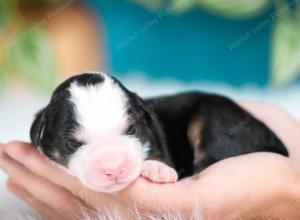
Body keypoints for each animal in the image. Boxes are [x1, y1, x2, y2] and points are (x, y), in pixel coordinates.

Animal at [30, 72, 288, 192]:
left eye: (131, 129)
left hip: (214, 116)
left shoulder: (153, 134)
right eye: (74, 144)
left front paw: (156, 168)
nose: (114, 169)